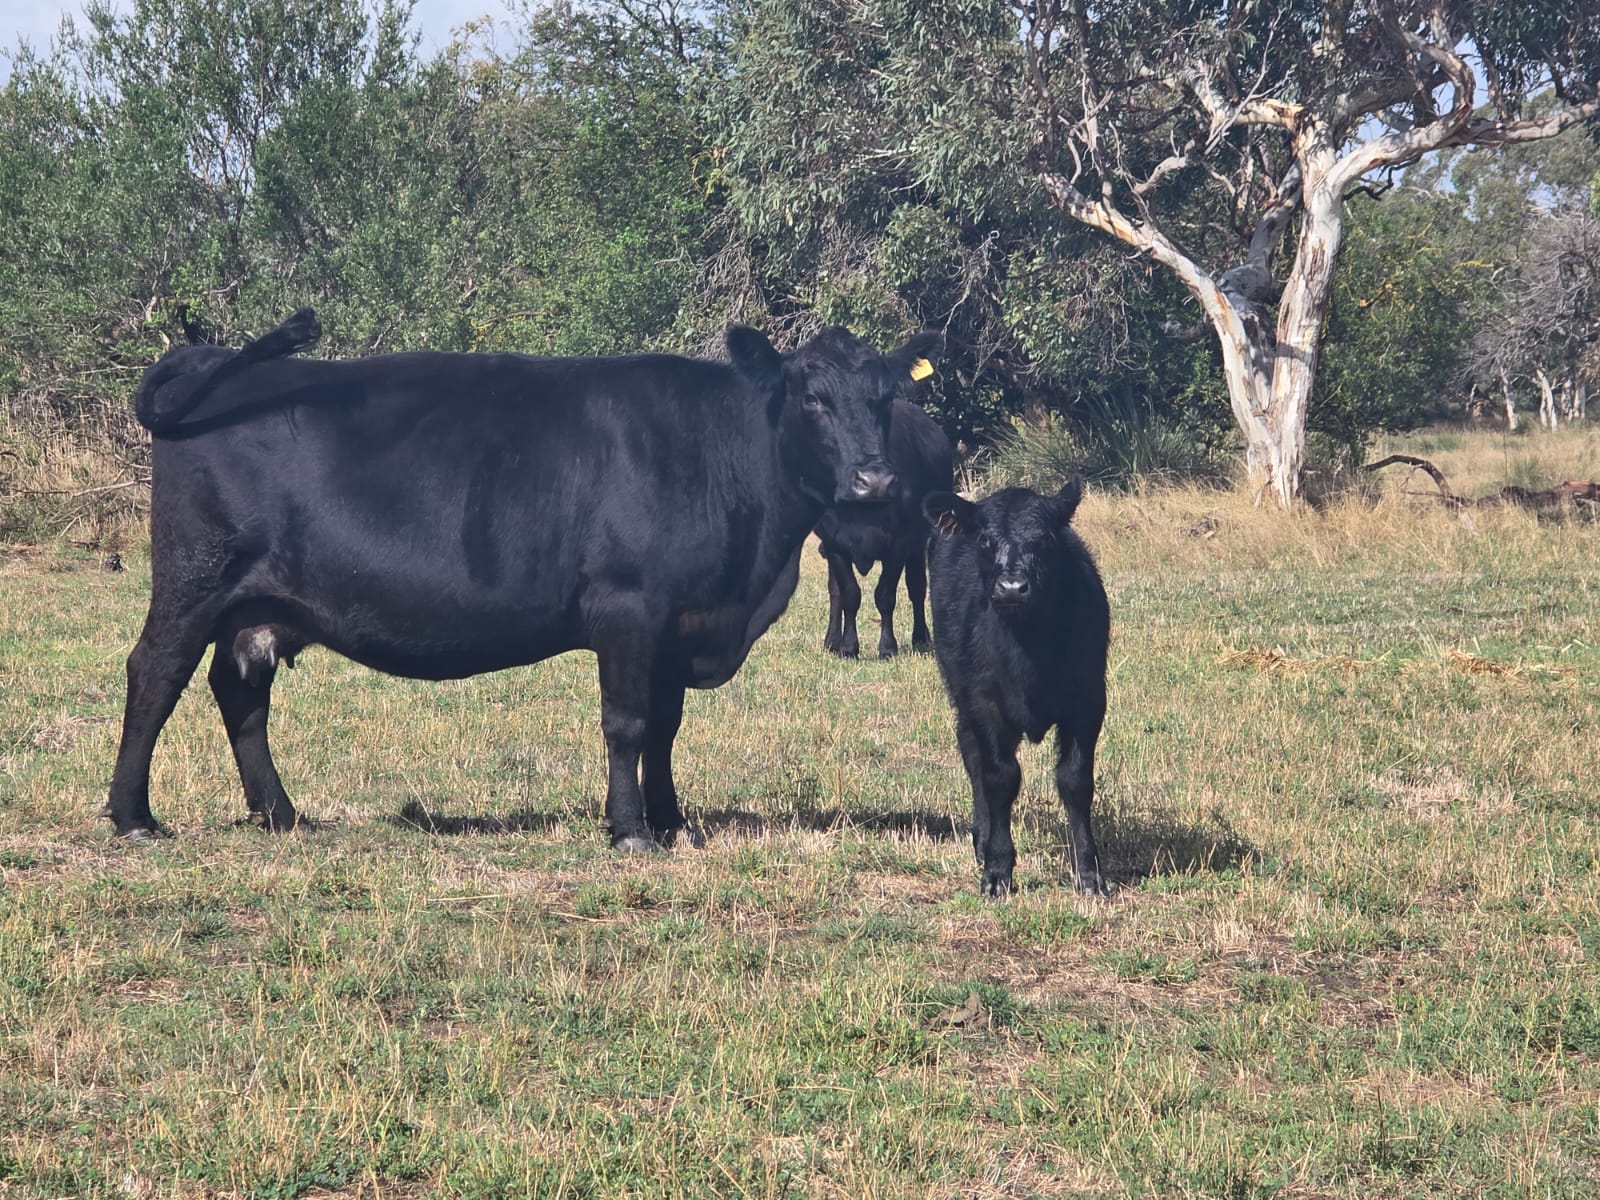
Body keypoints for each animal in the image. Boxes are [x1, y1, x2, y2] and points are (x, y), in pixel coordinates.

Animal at [814, 398, 954, 659]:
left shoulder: (899, 543)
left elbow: (885, 595)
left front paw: (888, 647)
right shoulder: (833, 542)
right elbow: (849, 594)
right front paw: (848, 647)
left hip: (919, 543)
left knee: (917, 587)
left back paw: (920, 637)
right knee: (834, 591)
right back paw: (832, 641)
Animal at [921, 476, 1109, 896]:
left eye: (1044, 539)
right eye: (985, 540)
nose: (1011, 587)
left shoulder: (1088, 702)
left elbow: (1075, 780)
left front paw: (1089, 873)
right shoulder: (983, 702)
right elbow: (1000, 778)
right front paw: (997, 869)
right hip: (959, 689)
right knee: (972, 755)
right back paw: (981, 839)